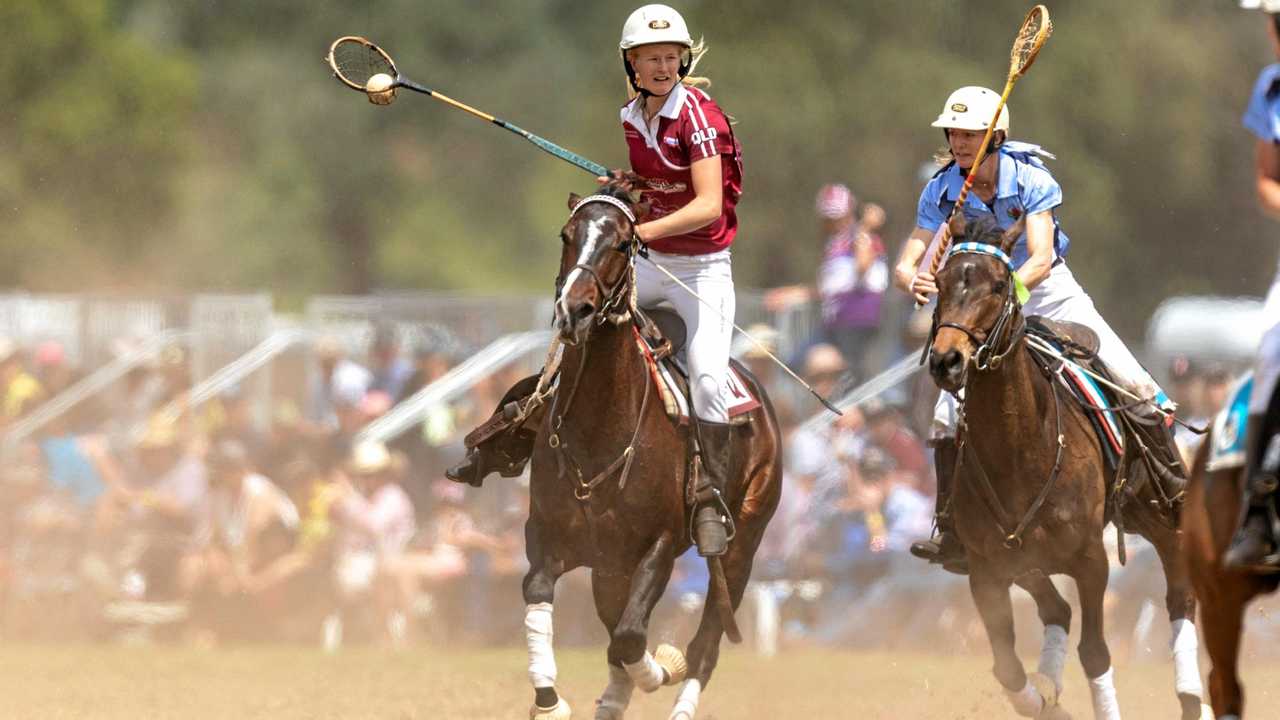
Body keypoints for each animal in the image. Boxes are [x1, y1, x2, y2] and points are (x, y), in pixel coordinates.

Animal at [517, 178, 778, 717]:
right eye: (566, 235)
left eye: (622, 243)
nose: (574, 311)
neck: (600, 429)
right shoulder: (552, 536)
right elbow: (542, 595)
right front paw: (549, 700)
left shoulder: (658, 544)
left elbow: (632, 636)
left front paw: (663, 666)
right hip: (610, 566)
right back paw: (613, 699)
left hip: (743, 540)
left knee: (706, 640)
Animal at [931, 212, 1208, 717]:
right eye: (939, 282)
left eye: (999, 284)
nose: (946, 360)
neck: (1019, 451)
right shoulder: (986, 571)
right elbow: (1007, 666)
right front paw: (1046, 699)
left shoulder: (1091, 560)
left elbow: (1095, 653)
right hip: (1029, 560)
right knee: (1055, 610)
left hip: (1159, 514)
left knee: (1181, 598)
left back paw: (1193, 699)